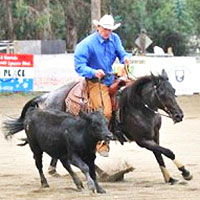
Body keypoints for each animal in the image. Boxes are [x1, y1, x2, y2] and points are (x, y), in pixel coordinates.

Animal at [3, 69, 192, 184]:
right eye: (162, 93)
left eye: (174, 91)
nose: (179, 115)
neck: (139, 105)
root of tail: (46, 96)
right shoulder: (143, 140)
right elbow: (168, 151)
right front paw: (185, 172)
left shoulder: (154, 136)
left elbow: (160, 155)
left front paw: (170, 178)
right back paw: (107, 175)